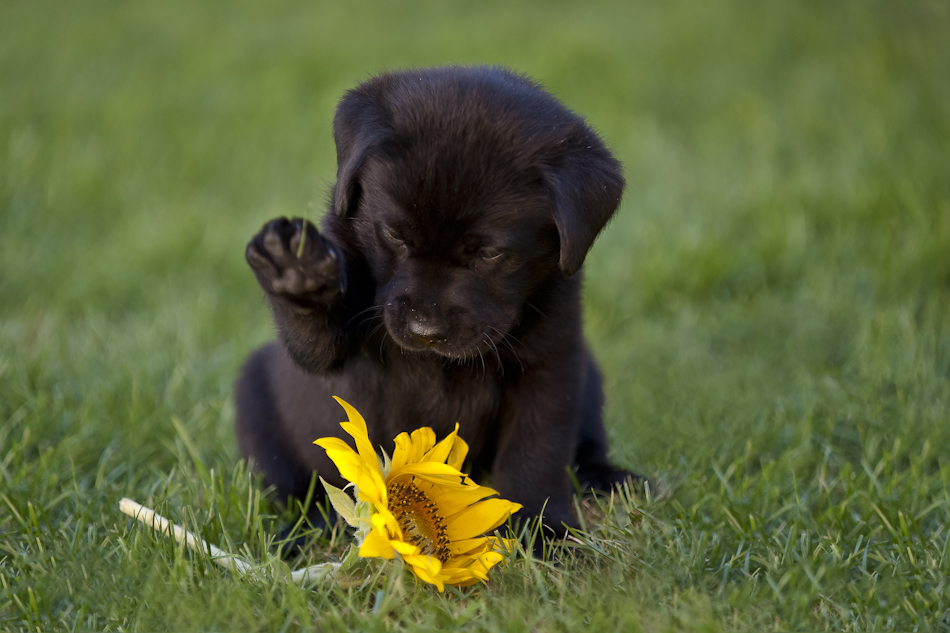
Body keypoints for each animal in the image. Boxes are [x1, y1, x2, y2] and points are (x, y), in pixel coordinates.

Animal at [234, 65, 632, 544]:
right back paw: (307, 528)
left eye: (488, 253)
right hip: (255, 400)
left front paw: (540, 531)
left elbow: (536, 452)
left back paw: (609, 479)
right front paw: (295, 271)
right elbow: (317, 342)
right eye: (395, 234)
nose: (426, 330)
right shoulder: (342, 354)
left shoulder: (550, 364)